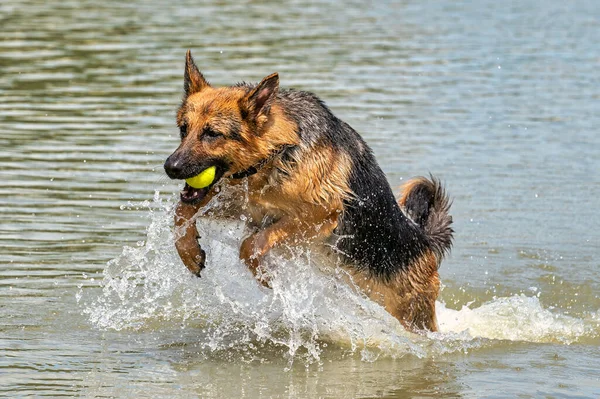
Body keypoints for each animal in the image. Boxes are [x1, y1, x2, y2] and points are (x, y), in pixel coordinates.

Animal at [164, 50, 454, 332]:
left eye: (212, 134)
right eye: (183, 129)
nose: (170, 167)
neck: (277, 151)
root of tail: (425, 241)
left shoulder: (321, 212)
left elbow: (252, 243)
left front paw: (265, 276)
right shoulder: (246, 206)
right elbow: (181, 212)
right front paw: (189, 253)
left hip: (411, 316)